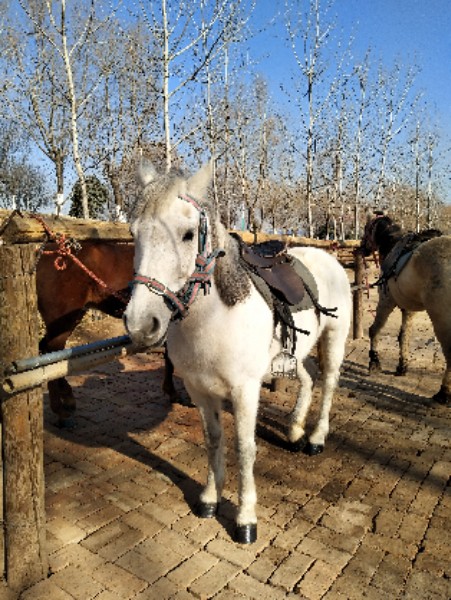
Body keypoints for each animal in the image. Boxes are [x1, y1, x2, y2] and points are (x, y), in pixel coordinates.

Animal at [124, 161, 354, 544]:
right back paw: (294, 430)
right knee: (308, 378)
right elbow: (213, 439)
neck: (215, 318)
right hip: (292, 354)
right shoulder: (200, 390)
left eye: (188, 234)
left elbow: (245, 448)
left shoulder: (245, 391)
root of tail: (327, 257)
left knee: (330, 383)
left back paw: (315, 438)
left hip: (334, 339)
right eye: (133, 234)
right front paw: (209, 498)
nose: (142, 325)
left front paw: (246, 518)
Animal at [360, 213, 451, 406]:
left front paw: (374, 362)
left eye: (366, 228)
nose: (360, 248)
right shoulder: (408, 309)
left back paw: (444, 393)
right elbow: (404, 336)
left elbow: (375, 330)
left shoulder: (386, 301)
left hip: (441, 320)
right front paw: (402, 366)